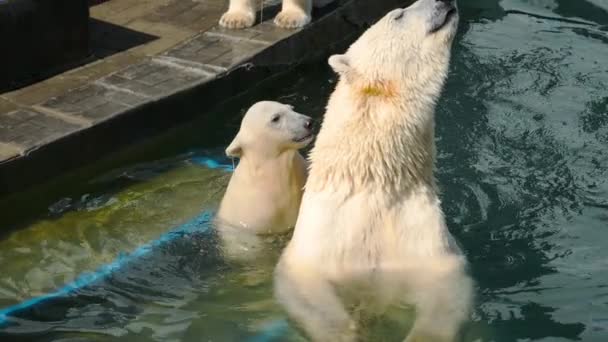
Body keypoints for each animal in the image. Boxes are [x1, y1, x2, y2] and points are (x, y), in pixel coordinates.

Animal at [274, 0, 472, 342]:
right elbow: (304, 287)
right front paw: (349, 331)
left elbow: (446, 291)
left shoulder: (422, 239)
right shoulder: (321, 241)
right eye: (398, 14)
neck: (372, 184)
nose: (444, 1)